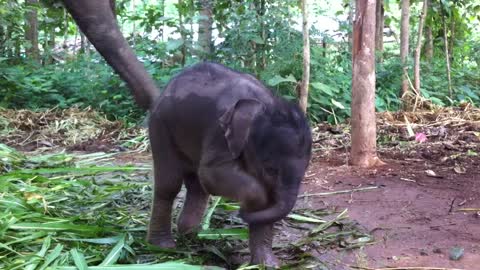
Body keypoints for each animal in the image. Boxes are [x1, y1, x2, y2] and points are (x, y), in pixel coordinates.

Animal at [62, 0, 312, 268]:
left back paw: (191, 234)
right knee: (170, 183)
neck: (265, 102)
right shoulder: (218, 133)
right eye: (270, 168)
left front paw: (267, 264)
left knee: (196, 184)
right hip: (160, 127)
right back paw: (163, 245)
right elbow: (213, 174)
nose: (242, 214)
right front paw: (253, 205)